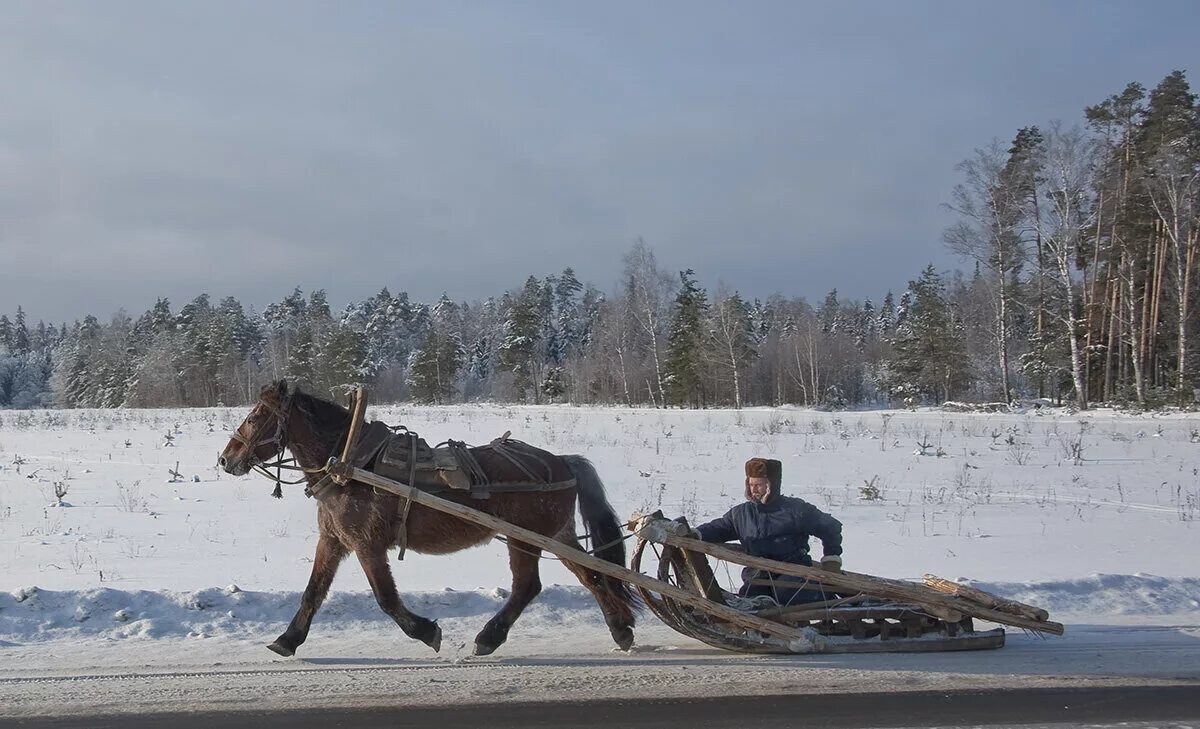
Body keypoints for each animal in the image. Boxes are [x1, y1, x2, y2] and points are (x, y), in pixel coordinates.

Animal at [216, 378, 638, 657]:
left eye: (255, 417)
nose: (225, 458)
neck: (349, 464)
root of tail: (562, 461)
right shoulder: (333, 540)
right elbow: (313, 592)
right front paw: (287, 640)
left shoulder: (366, 543)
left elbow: (386, 598)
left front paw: (426, 631)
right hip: (556, 534)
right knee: (592, 576)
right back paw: (621, 630)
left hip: (524, 538)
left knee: (527, 587)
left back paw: (488, 638)